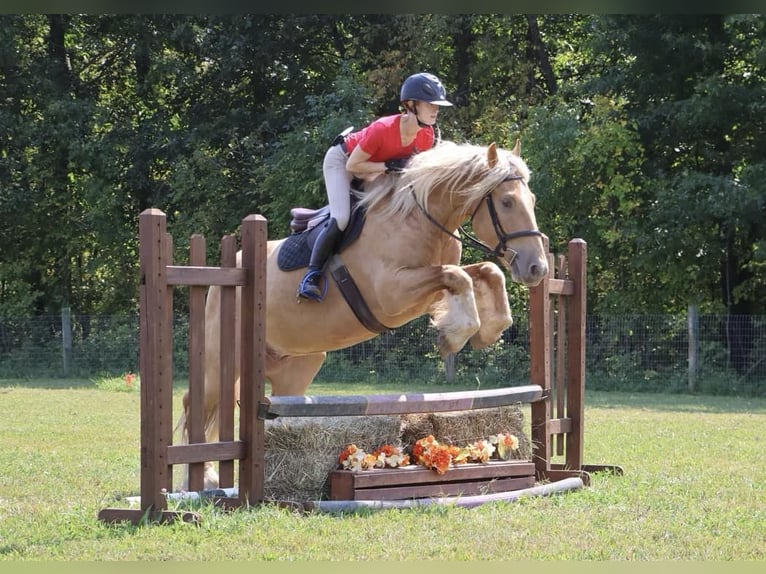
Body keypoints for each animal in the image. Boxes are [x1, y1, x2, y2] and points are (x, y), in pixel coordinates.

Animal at [180, 141, 552, 490]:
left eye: (533, 200)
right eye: (507, 203)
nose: (537, 269)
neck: (420, 219)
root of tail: (228, 268)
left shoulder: (429, 288)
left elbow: (486, 272)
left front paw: (486, 332)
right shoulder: (392, 293)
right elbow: (459, 276)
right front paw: (455, 336)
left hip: (297, 368)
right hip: (222, 362)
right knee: (197, 405)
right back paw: (202, 480)